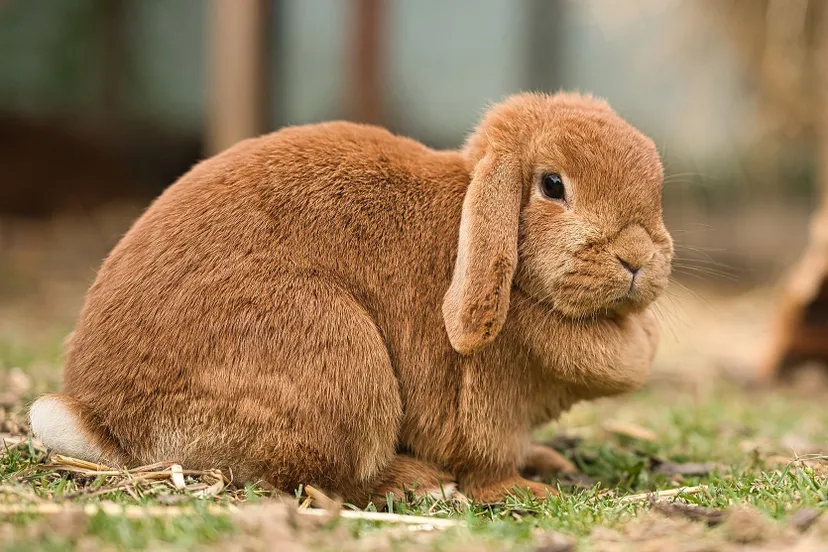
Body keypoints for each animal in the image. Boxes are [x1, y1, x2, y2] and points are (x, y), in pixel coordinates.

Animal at [29, 92, 672, 506]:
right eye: (553, 186)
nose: (637, 257)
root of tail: (102, 421)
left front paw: (547, 463)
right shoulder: (485, 409)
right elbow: (486, 462)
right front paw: (523, 490)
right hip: (340, 362)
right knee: (324, 480)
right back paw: (418, 482)